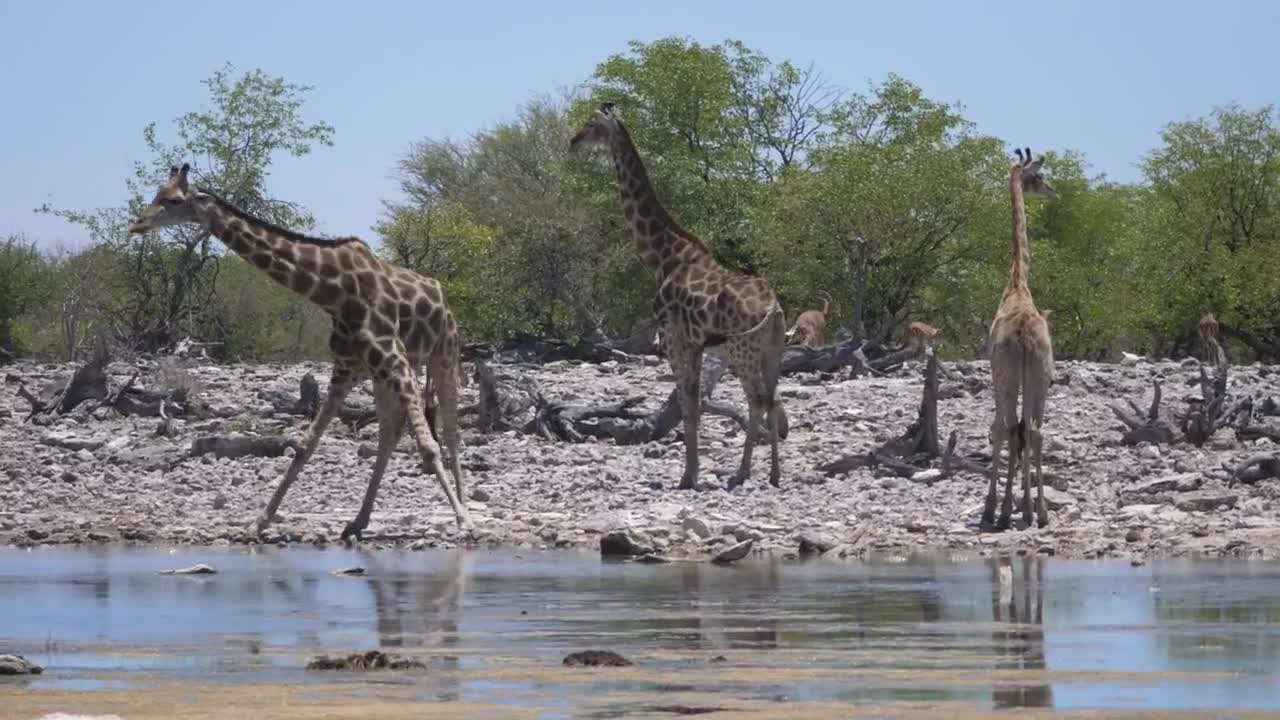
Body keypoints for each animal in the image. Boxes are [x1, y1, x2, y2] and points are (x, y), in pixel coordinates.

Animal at [128, 163, 472, 540]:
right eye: (156, 194)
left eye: (174, 200)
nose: (138, 224)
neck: (332, 292)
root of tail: (444, 299)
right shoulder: (347, 366)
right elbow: (305, 446)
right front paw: (260, 520)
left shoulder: (393, 360)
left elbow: (428, 446)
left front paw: (462, 520)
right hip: (382, 372)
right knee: (389, 433)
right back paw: (359, 520)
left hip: (441, 356)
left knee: (451, 431)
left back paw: (464, 507)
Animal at [571, 103, 786, 490]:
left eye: (593, 123)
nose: (573, 140)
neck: (662, 257)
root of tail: (774, 309)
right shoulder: (696, 344)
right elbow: (694, 404)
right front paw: (692, 472)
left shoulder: (672, 340)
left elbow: (688, 405)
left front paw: (689, 476)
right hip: (772, 352)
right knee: (772, 399)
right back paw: (774, 474)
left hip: (742, 349)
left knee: (757, 399)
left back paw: (742, 472)